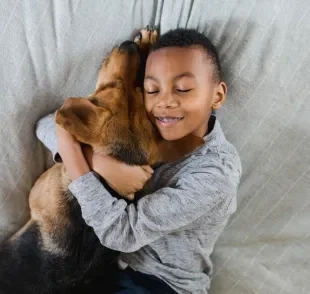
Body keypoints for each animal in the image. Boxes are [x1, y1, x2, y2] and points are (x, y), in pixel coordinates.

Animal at [0, 26, 203, 292]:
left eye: (106, 89)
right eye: (143, 90)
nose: (129, 45)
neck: (106, 182)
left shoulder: (39, 189)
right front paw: (148, 44)